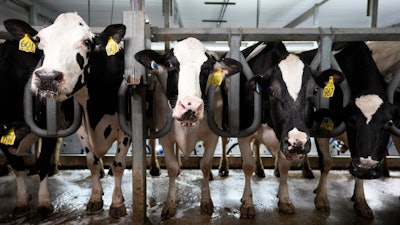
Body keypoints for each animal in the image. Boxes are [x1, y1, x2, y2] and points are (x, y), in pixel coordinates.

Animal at [0, 18, 69, 219]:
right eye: (38, 41)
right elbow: (17, 166)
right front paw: (22, 201)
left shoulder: (49, 126)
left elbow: (43, 161)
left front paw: (44, 203)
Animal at [28, 12, 129, 218]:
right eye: (39, 39)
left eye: (87, 42)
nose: (47, 77)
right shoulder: (82, 128)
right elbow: (92, 162)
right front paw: (96, 198)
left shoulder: (127, 129)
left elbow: (118, 165)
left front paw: (117, 203)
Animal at [134, 36, 242, 218]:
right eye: (170, 65)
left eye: (206, 68)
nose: (190, 106)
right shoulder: (165, 136)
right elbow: (171, 167)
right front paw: (170, 205)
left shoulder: (212, 136)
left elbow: (205, 164)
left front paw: (206, 201)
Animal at [233, 40, 346, 218]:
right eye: (271, 91)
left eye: (315, 90)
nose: (298, 142)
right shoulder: (244, 130)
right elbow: (247, 166)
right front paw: (247, 203)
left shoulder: (284, 142)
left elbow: (284, 167)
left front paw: (285, 200)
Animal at [300, 40, 400, 218]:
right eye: (350, 121)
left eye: (389, 123)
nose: (367, 167)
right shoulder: (321, 129)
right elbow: (326, 162)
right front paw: (322, 199)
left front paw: (361, 201)